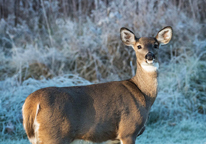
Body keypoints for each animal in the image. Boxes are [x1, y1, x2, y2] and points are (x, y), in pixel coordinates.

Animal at [22, 26, 172, 144]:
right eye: (139, 46)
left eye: (156, 45)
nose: (149, 56)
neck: (143, 94)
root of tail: (32, 102)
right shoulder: (128, 130)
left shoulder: (113, 138)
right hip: (53, 134)